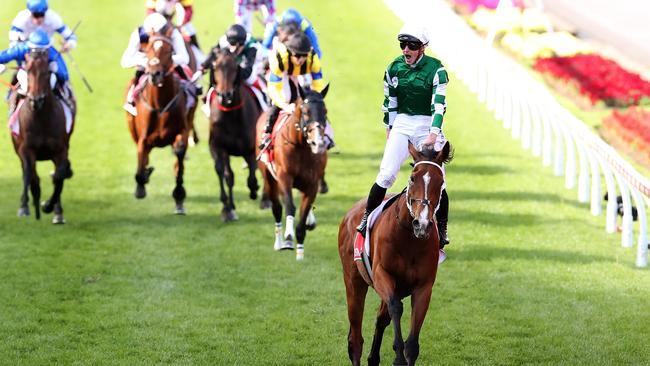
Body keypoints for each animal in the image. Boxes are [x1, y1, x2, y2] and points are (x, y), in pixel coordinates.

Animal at [10, 48, 74, 223]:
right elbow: (29, 176)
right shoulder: (26, 150)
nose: (36, 100)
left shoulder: (60, 150)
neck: (41, 119)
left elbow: (59, 177)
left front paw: (53, 209)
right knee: (29, 174)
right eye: (28, 71)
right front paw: (26, 206)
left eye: (47, 73)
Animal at [125, 26, 189, 214]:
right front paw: (142, 183)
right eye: (148, 50)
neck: (160, 104)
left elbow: (179, 155)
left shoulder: (182, 131)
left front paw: (179, 194)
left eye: (169, 51)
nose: (155, 74)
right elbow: (140, 164)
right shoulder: (143, 138)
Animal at [206, 48, 260, 220]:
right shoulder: (218, 147)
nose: (225, 95)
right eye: (215, 67)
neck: (230, 115)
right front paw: (227, 208)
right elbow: (225, 174)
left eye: (235, 68)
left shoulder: (250, 149)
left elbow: (252, 177)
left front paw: (255, 190)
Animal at [256, 83, 330, 260]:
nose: (318, 143)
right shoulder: (284, 177)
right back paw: (279, 242)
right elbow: (289, 206)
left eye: (325, 111)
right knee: (277, 208)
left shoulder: (312, 185)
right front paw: (288, 238)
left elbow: (303, 219)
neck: (302, 147)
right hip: (269, 178)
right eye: (306, 112)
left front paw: (300, 253)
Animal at [336, 142, 454, 364]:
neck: (409, 238)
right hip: (354, 281)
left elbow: (412, 344)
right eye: (413, 177)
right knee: (355, 339)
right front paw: (398, 356)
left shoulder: (423, 287)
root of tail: (350, 213)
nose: (422, 224)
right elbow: (396, 307)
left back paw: (373, 358)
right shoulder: (382, 274)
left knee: (381, 319)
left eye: (441, 181)